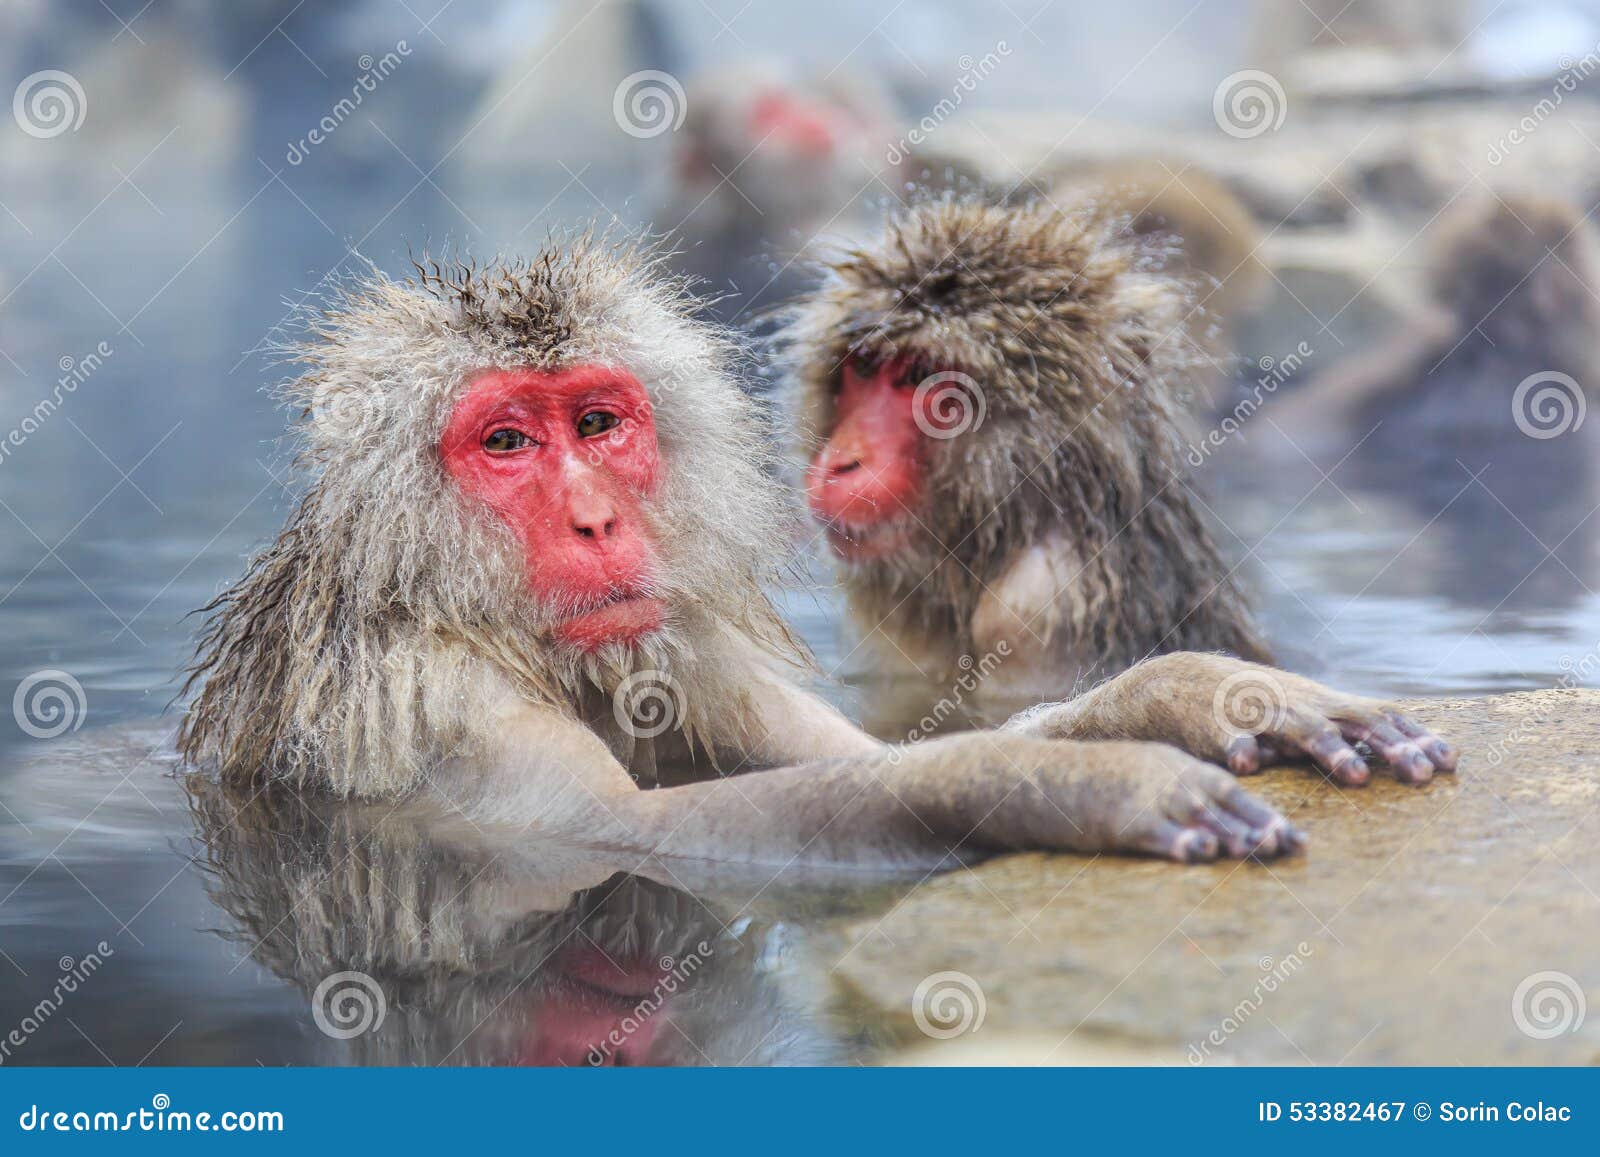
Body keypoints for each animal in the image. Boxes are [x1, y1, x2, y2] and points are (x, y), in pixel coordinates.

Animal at [175, 236, 1452, 870]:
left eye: (597, 423)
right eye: (504, 442)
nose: (595, 518)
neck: (461, 607)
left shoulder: (682, 642)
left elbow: (855, 756)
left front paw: (1206, 690)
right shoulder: (436, 699)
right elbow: (643, 836)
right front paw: (1083, 786)